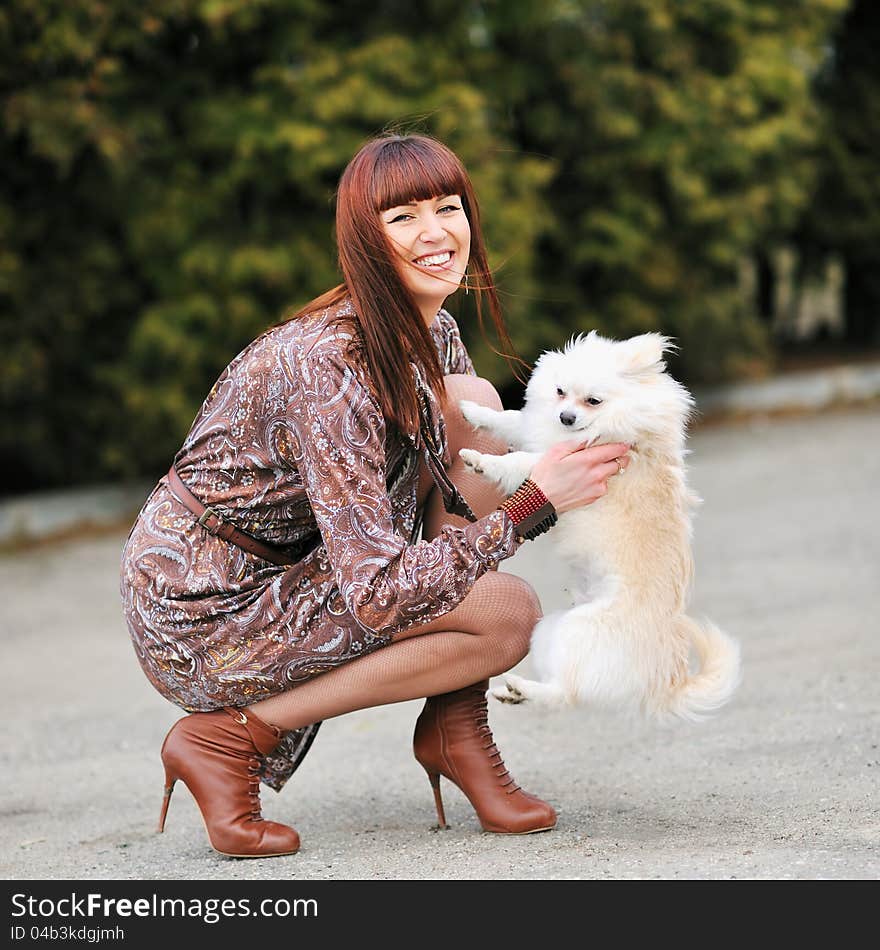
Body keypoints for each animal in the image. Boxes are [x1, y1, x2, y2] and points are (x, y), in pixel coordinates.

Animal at [460, 332, 744, 720]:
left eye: (592, 401)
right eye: (560, 392)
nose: (565, 417)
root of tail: (665, 682)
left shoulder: (555, 462)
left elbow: (518, 461)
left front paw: (482, 461)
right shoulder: (541, 433)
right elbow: (512, 419)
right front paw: (473, 411)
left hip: (577, 632)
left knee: (567, 694)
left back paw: (521, 689)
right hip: (550, 630)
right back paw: (516, 693)